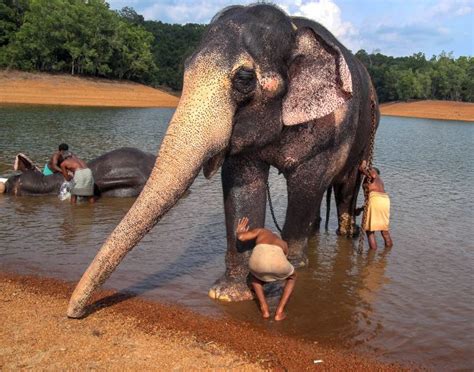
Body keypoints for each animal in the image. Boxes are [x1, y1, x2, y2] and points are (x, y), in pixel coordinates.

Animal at [66, 3, 380, 316]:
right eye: (185, 70)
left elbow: (307, 184)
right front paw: (228, 295)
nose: (74, 312)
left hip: (366, 136)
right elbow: (243, 187)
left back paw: (345, 233)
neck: (293, 28)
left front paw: (289, 271)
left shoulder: (331, 129)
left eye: (244, 78)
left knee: (345, 187)